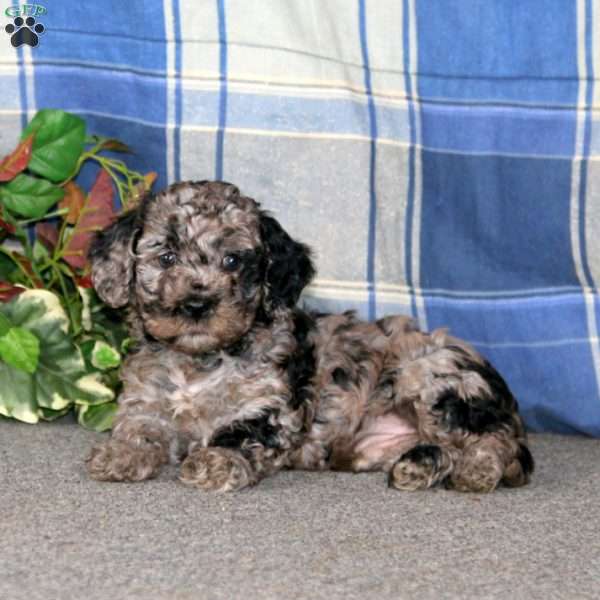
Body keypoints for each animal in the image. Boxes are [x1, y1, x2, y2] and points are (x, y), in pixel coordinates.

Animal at [85, 180, 536, 494]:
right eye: (166, 258)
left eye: (232, 261)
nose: (197, 306)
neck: (199, 361)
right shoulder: (146, 401)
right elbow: (141, 429)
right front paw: (120, 454)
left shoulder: (273, 406)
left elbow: (242, 433)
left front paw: (215, 461)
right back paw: (419, 466)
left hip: (434, 378)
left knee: (496, 444)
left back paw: (476, 471)